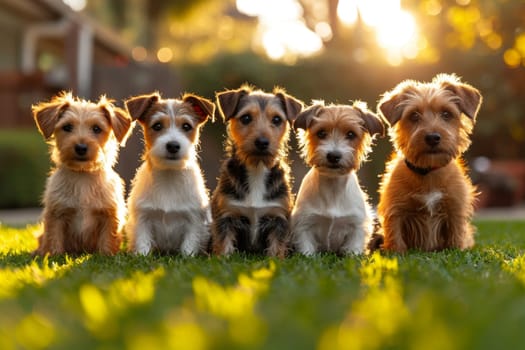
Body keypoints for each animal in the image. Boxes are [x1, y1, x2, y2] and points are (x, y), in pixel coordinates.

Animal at [32, 91, 132, 256]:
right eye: (67, 127)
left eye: (97, 128)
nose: (80, 147)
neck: (83, 175)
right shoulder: (56, 214)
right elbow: (53, 237)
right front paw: (53, 255)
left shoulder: (109, 215)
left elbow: (108, 238)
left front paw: (107, 255)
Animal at [124, 91, 213, 256]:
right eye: (157, 125)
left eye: (186, 126)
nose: (173, 145)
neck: (169, 174)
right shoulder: (143, 218)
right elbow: (143, 242)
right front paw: (141, 256)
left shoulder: (193, 219)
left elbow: (189, 246)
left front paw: (188, 257)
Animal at [211, 85, 302, 258]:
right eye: (246, 118)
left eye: (277, 119)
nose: (262, 142)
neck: (257, 168)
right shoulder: (226, 215)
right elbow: (224, 244)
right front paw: (223, 259)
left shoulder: (278, 218)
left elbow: (276, 248)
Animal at [292, 100, 382, 256]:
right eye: (321, 133)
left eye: (351, 134)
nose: (333, 156)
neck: (333, 186)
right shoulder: (304, 224)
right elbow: (306, 249)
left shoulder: (356, 225)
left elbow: (353, 248)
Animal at [368, 74, 484, 253]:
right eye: (414, 115)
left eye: (446, 113)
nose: (432, 137)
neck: (428, 170)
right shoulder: (395, 209)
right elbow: (395, 235)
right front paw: (396, 252)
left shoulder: (455, 208)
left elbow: (455, 236)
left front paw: (456, 249)